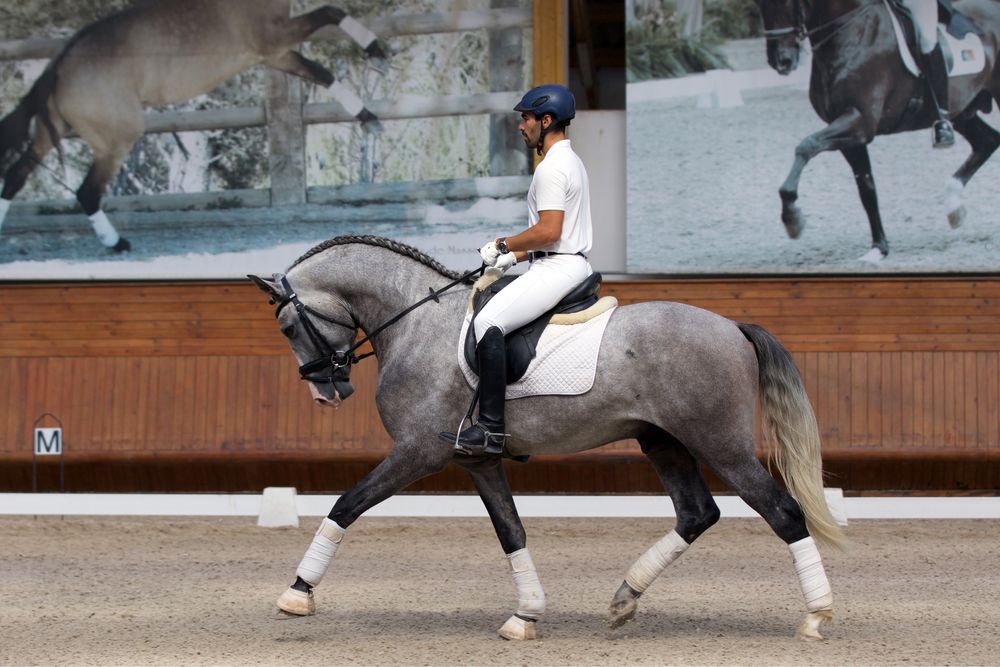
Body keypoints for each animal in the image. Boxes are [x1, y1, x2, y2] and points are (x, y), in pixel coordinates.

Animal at [248, 235, 844, 640]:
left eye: (286, 327)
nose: (328, 393)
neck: (416, 322)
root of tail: (733, 326)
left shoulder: (417, 453)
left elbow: (346, 504)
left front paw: (297, 593)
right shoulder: (476, 461)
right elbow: (511, 531)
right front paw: (525, 614)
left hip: (720, 444)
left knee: (783, 512)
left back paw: (816, 616)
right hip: (662, 440)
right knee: (698, 513)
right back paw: (624, 599)